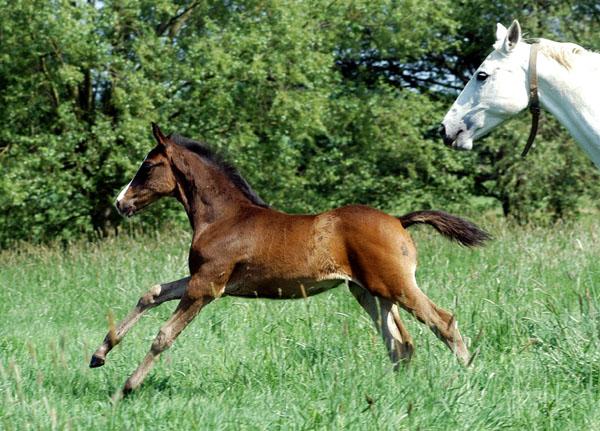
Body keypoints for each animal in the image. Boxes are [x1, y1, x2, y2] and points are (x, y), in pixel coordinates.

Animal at [90, 122, 492, 398]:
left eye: (147, 167)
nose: (120, 203)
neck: (223, 217)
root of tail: (398, 220)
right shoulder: (202, 280)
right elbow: (151, 293)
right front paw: (99, 355)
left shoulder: (207, 286)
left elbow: (163, 336)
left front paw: (125, 389)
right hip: (370, 293)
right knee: (400, 345)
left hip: (396, 286)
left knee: (443, 322)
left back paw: (470, 379)